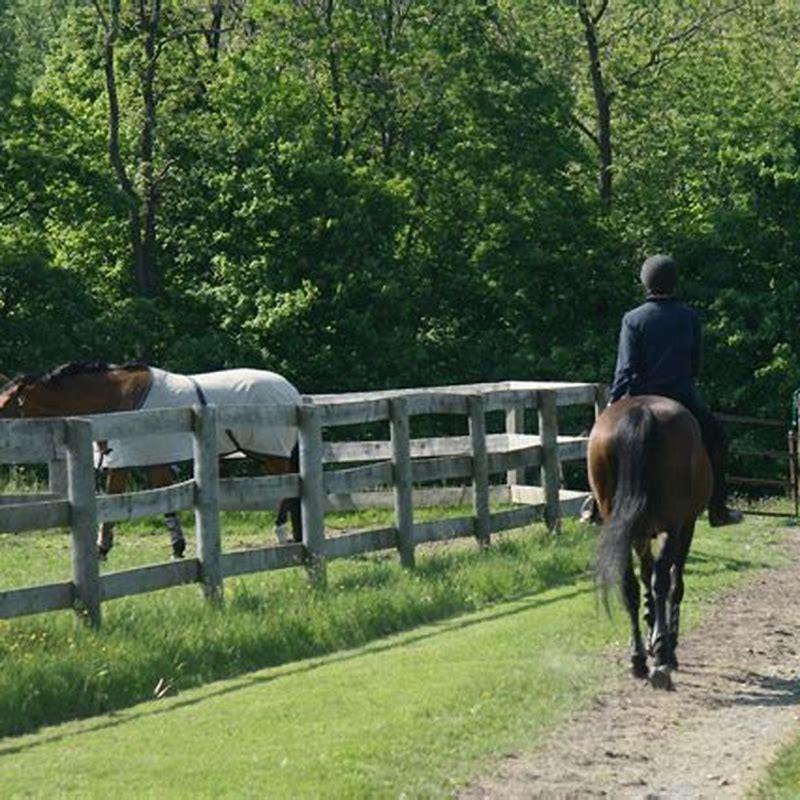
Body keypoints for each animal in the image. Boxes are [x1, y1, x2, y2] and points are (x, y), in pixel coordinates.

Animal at [0, 360, 304, 556]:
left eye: (4, 405)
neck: (120, 401)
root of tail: (290, 391)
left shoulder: (127, 459)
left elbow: (117, 498)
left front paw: (102, 549)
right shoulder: (144, 460)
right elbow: (159, 498)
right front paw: (176, 546)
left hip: (269, 451)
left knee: (287, 487)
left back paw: (280, 531)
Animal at [588, 396, 712, 692]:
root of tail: (640, 411)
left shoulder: (641, 534)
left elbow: (644, 579)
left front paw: (650, 632)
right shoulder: (686, 525)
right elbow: (673, 584)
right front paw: (665, 641)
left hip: (625, 525)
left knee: (630, 586)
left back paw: (638, 659)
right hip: (672, 525)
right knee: (662, 582)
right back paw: (664, 657)